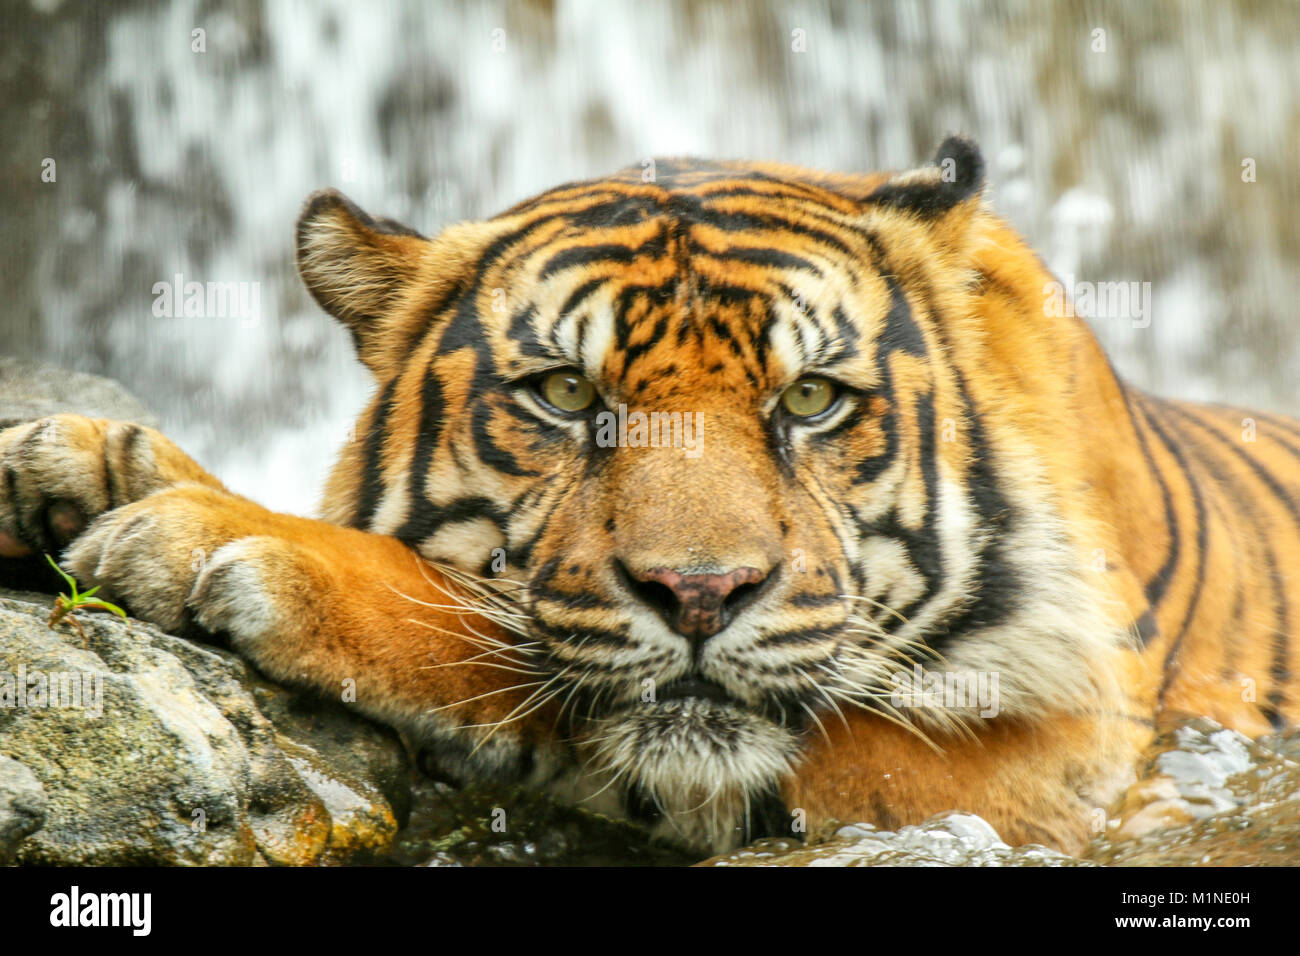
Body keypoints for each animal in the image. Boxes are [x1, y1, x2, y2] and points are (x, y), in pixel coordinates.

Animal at [1, 136, 1296, 858]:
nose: (699, 591)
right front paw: (83, 462)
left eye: (810, 397)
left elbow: (494, 646)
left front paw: (230, 532)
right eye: (566, 391)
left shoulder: (1045, 765)